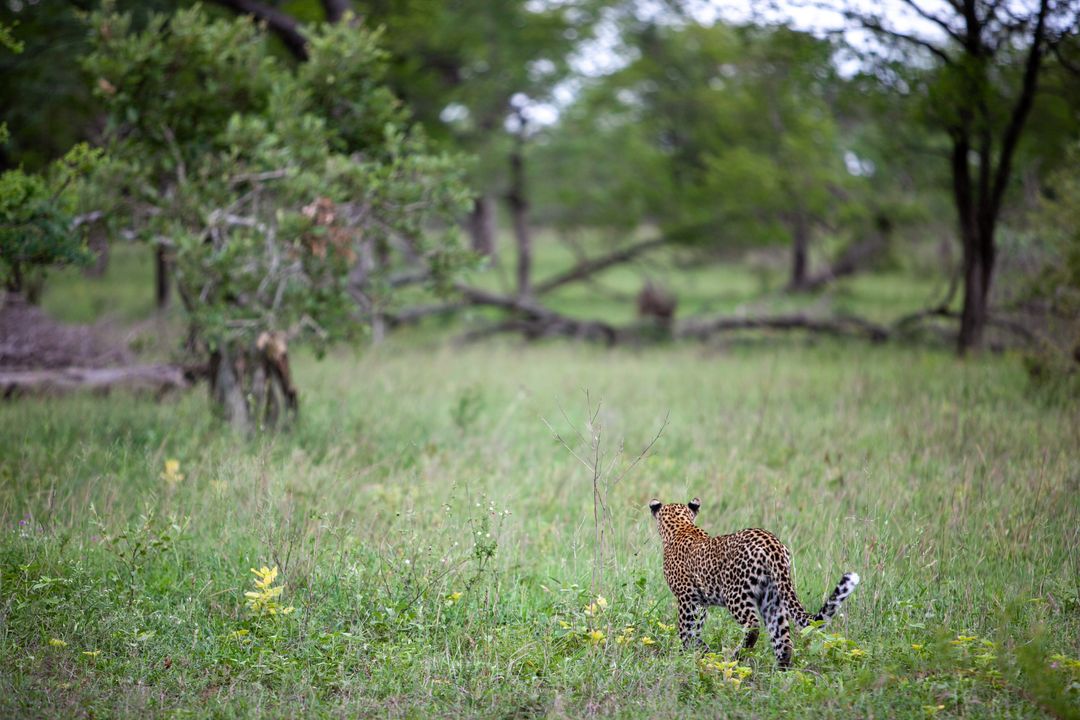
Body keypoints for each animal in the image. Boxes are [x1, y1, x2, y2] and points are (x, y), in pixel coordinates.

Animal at [649, 497, 860, 669]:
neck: (679, 527)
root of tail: (773, 545)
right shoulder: (701, 603)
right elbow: (696, 631)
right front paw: (701, 651)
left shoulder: (687, 599)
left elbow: (687, 631)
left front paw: (685, 656)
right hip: (773, 598)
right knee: (783, 641)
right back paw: (780, 676)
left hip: (736, 594)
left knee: (752, 625)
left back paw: (737, 656)